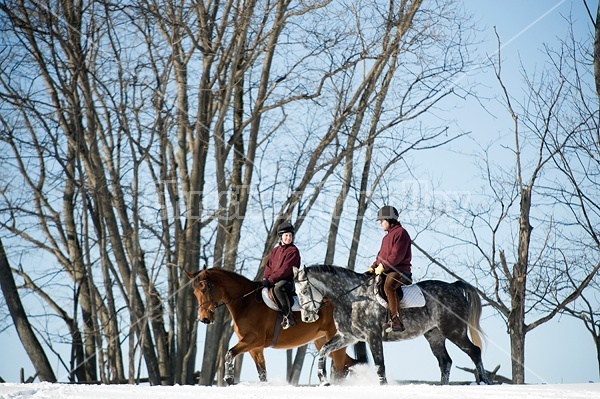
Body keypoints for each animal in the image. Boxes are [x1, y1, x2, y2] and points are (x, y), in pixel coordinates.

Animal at [188, 268, 356, 386]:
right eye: (194, 292)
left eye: (204, 289)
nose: (205, 319)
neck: (246, 303)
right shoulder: (255, 348)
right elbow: (262, 373)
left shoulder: (253, 340)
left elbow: (229, 353)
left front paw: (229, 378)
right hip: (322, 341)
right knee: (348, 363)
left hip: (334, 339)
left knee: (340, 367)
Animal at [292, 266, 490, 388]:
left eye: (304, 291)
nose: (307, 317)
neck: (353, 298)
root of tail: (453, 286)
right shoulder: (347, 336)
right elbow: (323, 350)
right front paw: (323, 380)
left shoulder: (372, 336)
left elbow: (380, 365)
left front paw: (383, 386)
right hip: (434, 335)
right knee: (445, 361)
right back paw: (444, 386)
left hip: (454, 330)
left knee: (474, 351)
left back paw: (484, 382)